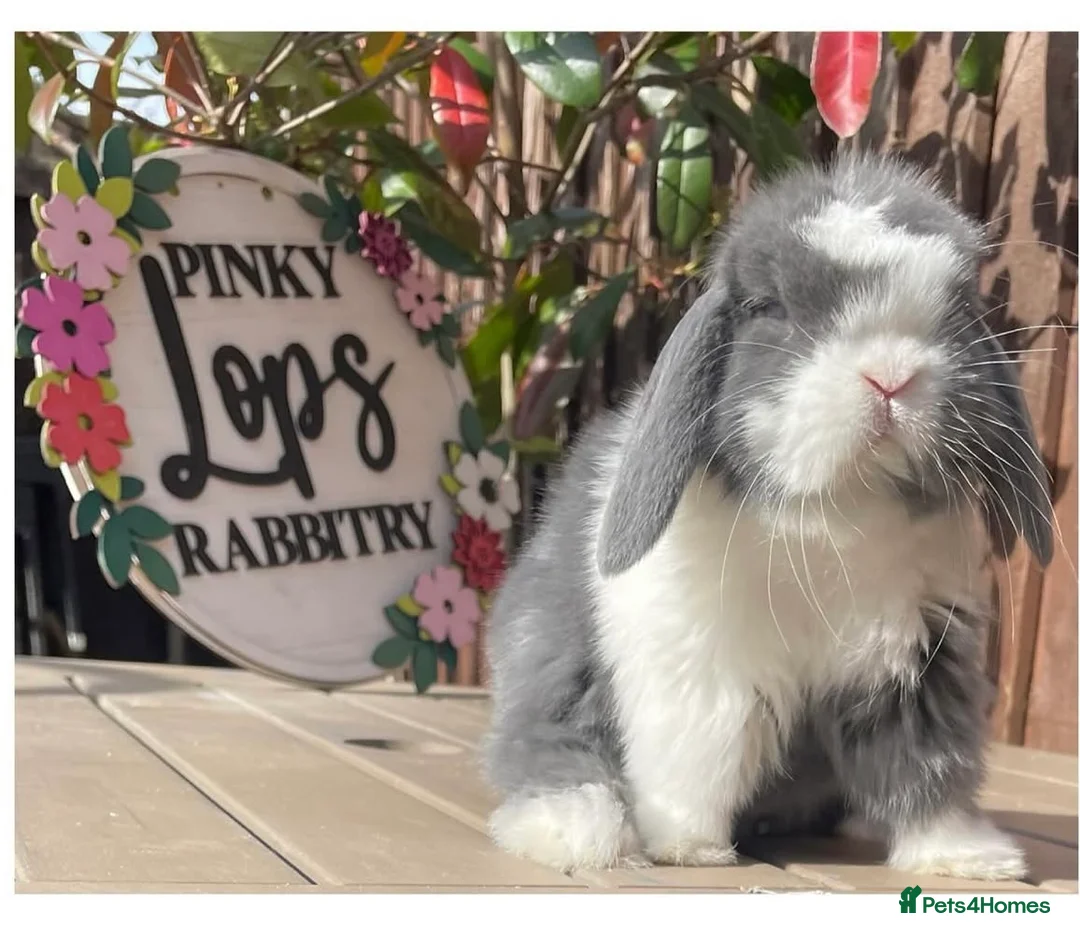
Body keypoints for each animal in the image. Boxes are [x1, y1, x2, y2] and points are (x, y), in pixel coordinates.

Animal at [480, 151, 1055, 881]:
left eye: (957, 307)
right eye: (770, 307)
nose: (891, 377)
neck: (836, 513)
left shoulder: (918, 664)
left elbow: (924, 763)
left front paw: (966, 856)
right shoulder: (699, 666)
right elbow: (699, 756)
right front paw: (689, 846)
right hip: (551, 662)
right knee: (542, 743)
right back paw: (575, 827)